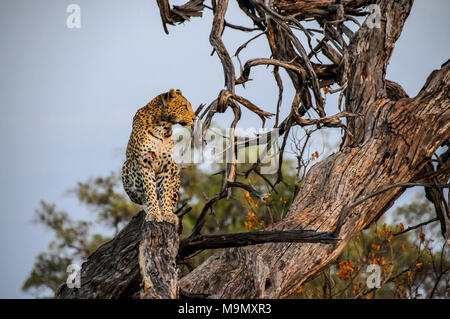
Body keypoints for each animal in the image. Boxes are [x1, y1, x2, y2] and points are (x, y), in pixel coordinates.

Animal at [122, 89, 196, 228]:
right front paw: (155, 213)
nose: (195, 119)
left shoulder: (167, 165)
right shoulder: (146, 163)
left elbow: (165, 191)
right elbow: (150, 191)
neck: (163, 126)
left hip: (176, 175)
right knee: (142, 199)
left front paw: (166, 213)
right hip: (125, 169)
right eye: (185, 106)